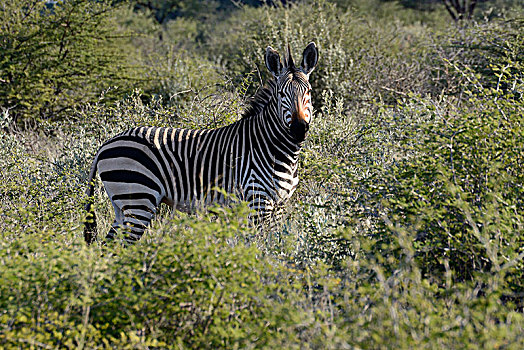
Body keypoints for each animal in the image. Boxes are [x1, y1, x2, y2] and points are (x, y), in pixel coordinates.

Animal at [84, 42, 320, 245]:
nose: (299, 129)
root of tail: (106, 143)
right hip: (138, 200)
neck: (276, 149)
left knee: (107, 247)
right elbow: (261, 245)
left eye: (308, 91)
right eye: (281, 94)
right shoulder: (258, 200)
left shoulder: (279, 204)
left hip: (121, 206)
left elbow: (275, 243)